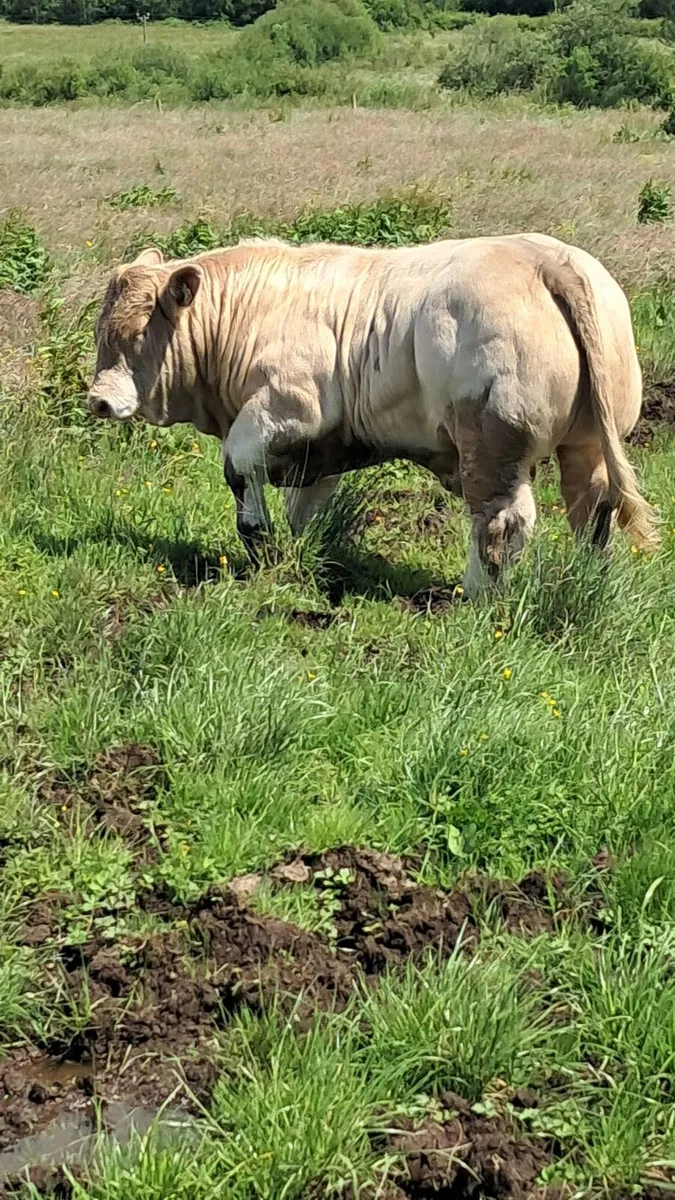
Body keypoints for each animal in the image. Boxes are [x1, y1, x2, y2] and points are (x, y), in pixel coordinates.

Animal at [87, 232, 658, 596]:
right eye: (100, 330)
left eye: (137, 332)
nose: (99, 400)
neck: (252, 311)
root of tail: (545, 257)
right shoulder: (319, 446)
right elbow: (306, 508)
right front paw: (298, 554)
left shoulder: (286, 408)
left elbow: (240, 469)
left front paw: (259, 543)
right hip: (587, 444)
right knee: (593, 511)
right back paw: (585, 578)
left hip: (492, 443)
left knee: (500, 521)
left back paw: (474, 596)